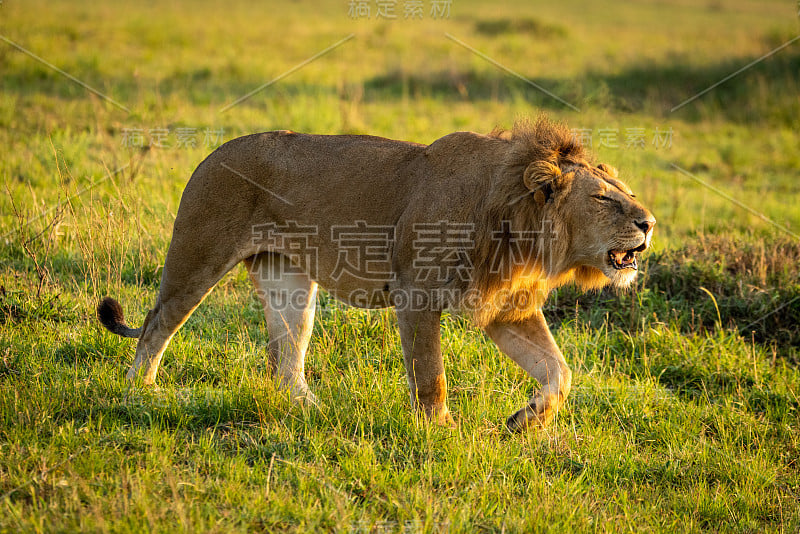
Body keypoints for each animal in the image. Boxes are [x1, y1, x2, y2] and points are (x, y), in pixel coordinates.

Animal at [97, 116, 656, 432]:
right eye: (604, 199)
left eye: (628, 192)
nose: (649, 223)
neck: (522, 228)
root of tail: (211, 153)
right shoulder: (416, 294)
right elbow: (431, 375)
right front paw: (439, 431)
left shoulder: (507, 310)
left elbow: (559, 371)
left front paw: (523, 423)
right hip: (199, 255)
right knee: (156, 325)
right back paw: (140, 393)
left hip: (290, 282)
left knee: (286, 357)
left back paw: (314, 412)